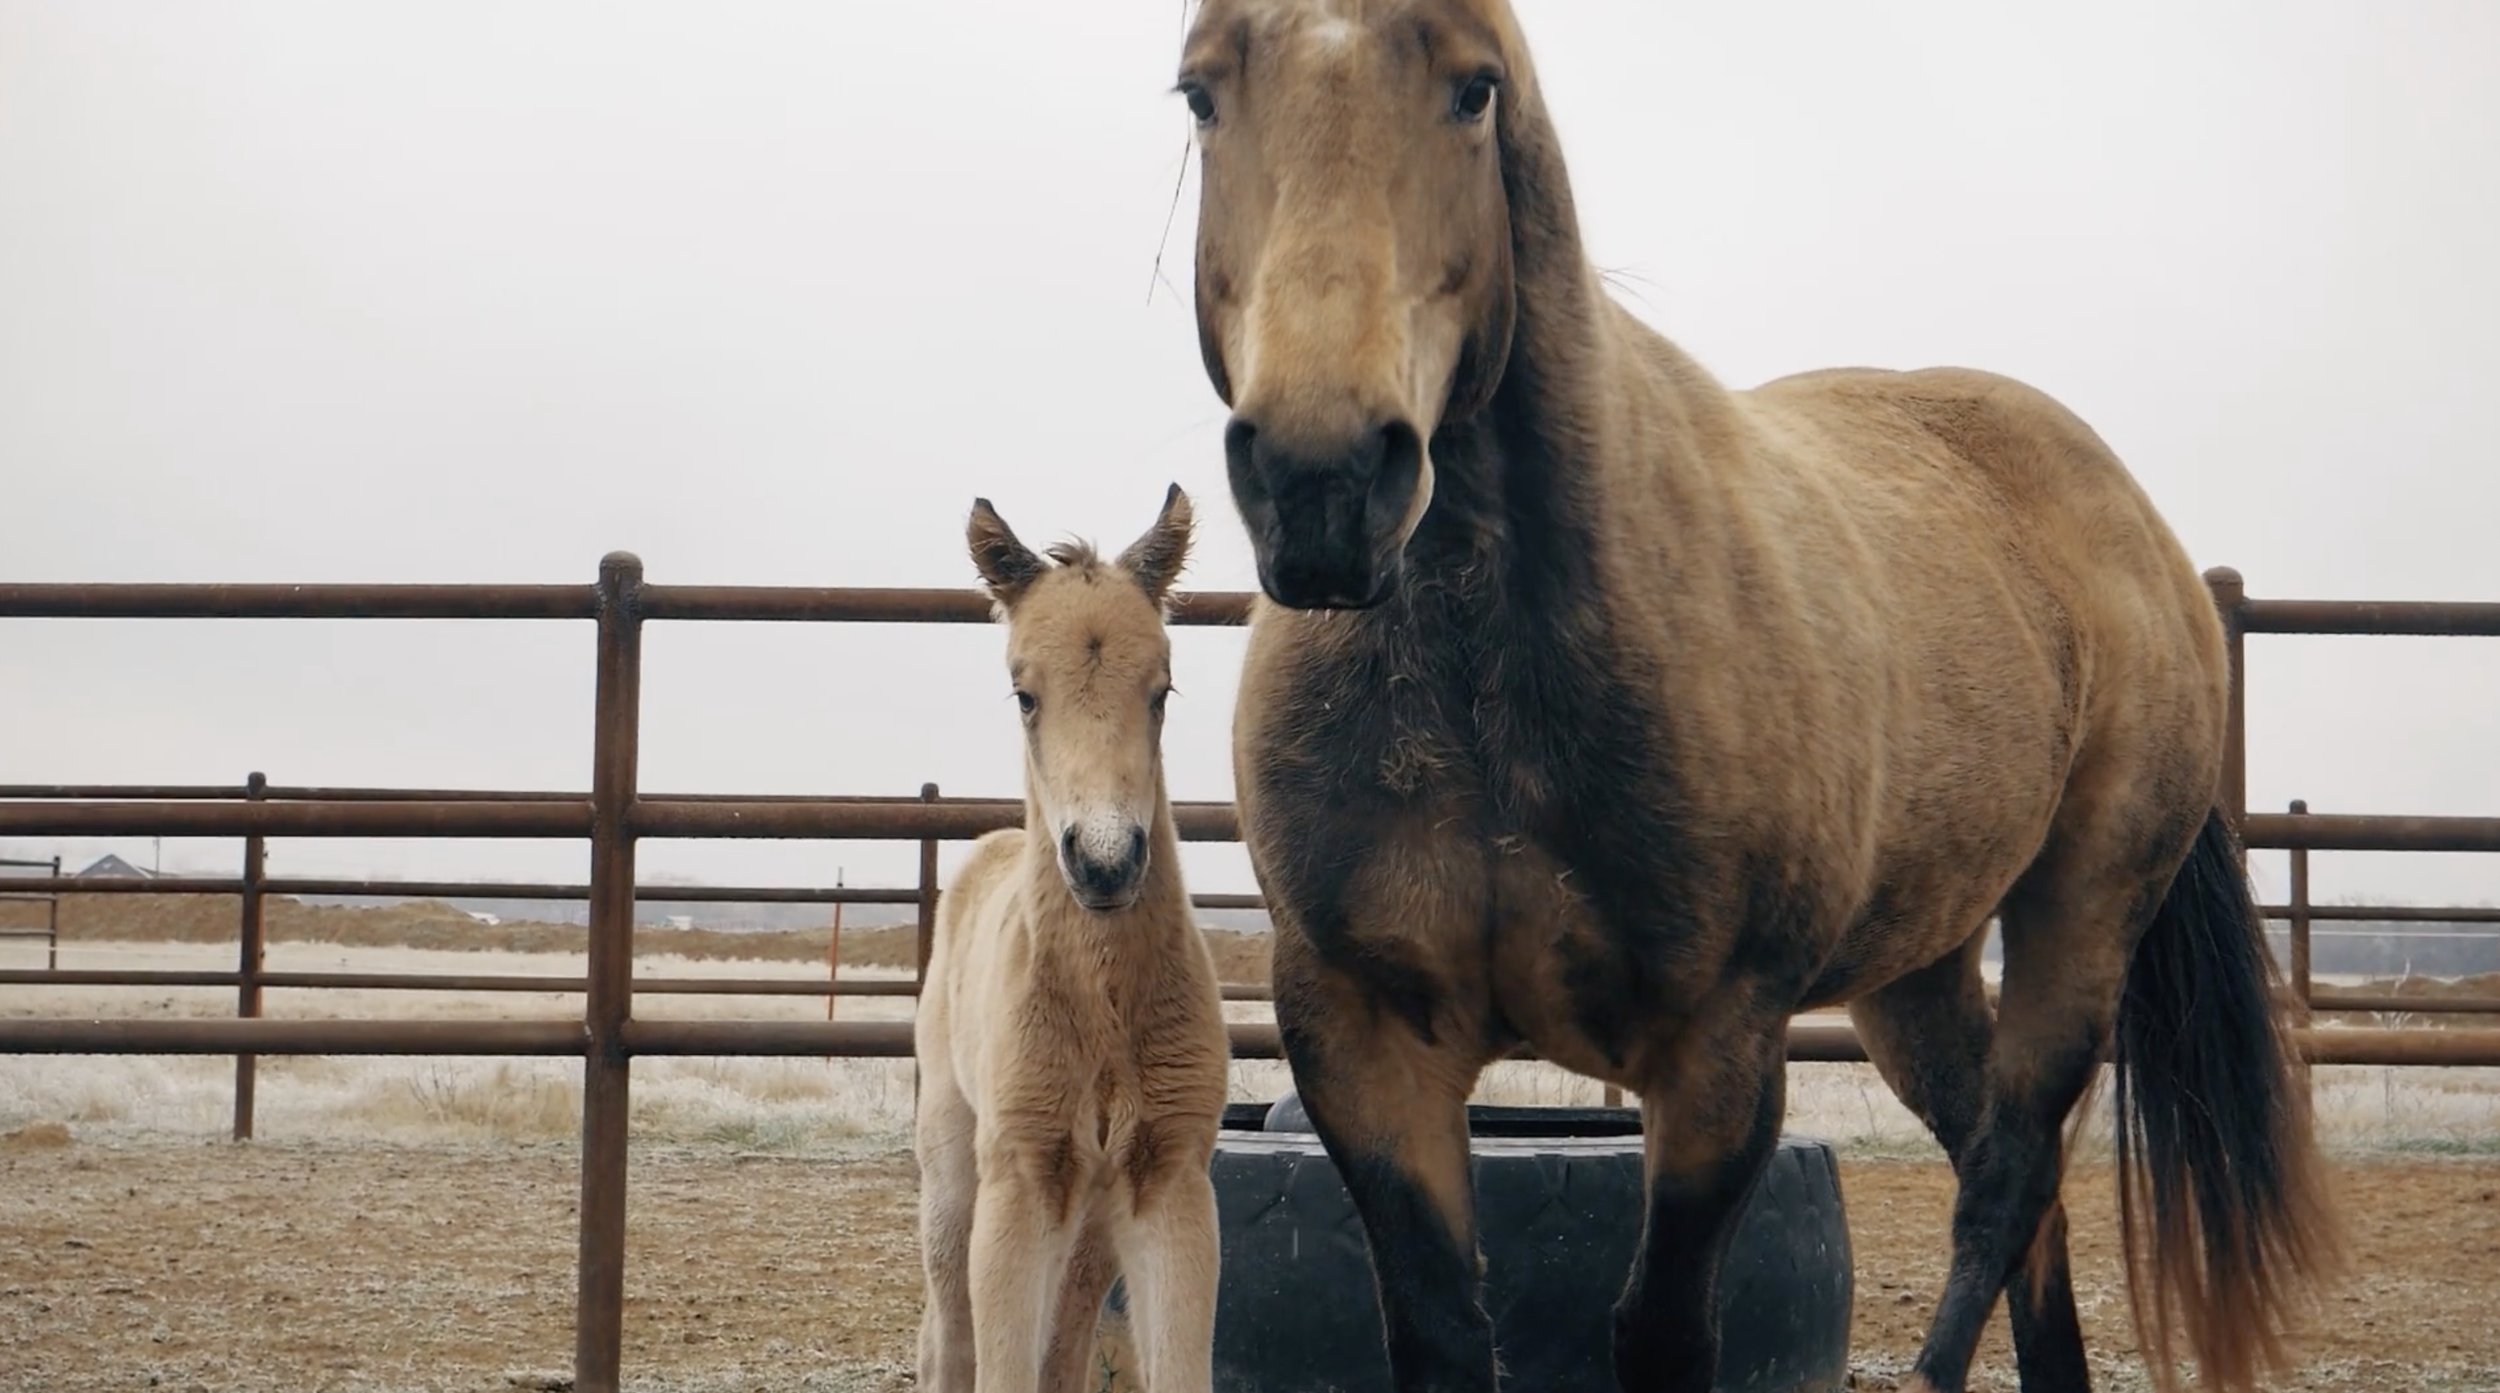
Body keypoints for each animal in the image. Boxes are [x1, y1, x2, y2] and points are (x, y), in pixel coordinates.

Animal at [913, 485, 1230, 1393]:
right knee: (947, 1335)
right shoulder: (1020, 1180)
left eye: (1163, 688)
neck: (1102, 1007)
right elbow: (998, 1366)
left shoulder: (1169, 1177)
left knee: (1067, 1340)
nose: (1105, 859)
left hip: (1091, 1220)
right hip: (953, 1172)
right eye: (1024, 693)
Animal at [1171, 4, 2341, 1391]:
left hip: (2083, 917)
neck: (1489, 688)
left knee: (2004, 1180)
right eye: (1199, 95)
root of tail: (2139, 529)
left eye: (1475, 91)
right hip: (1918, 974)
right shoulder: (1361, 1044)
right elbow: (1442, 1330)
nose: (1324, 477)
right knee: (2024, 1191)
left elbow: (1666, 1331)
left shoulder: (1720, 1053)